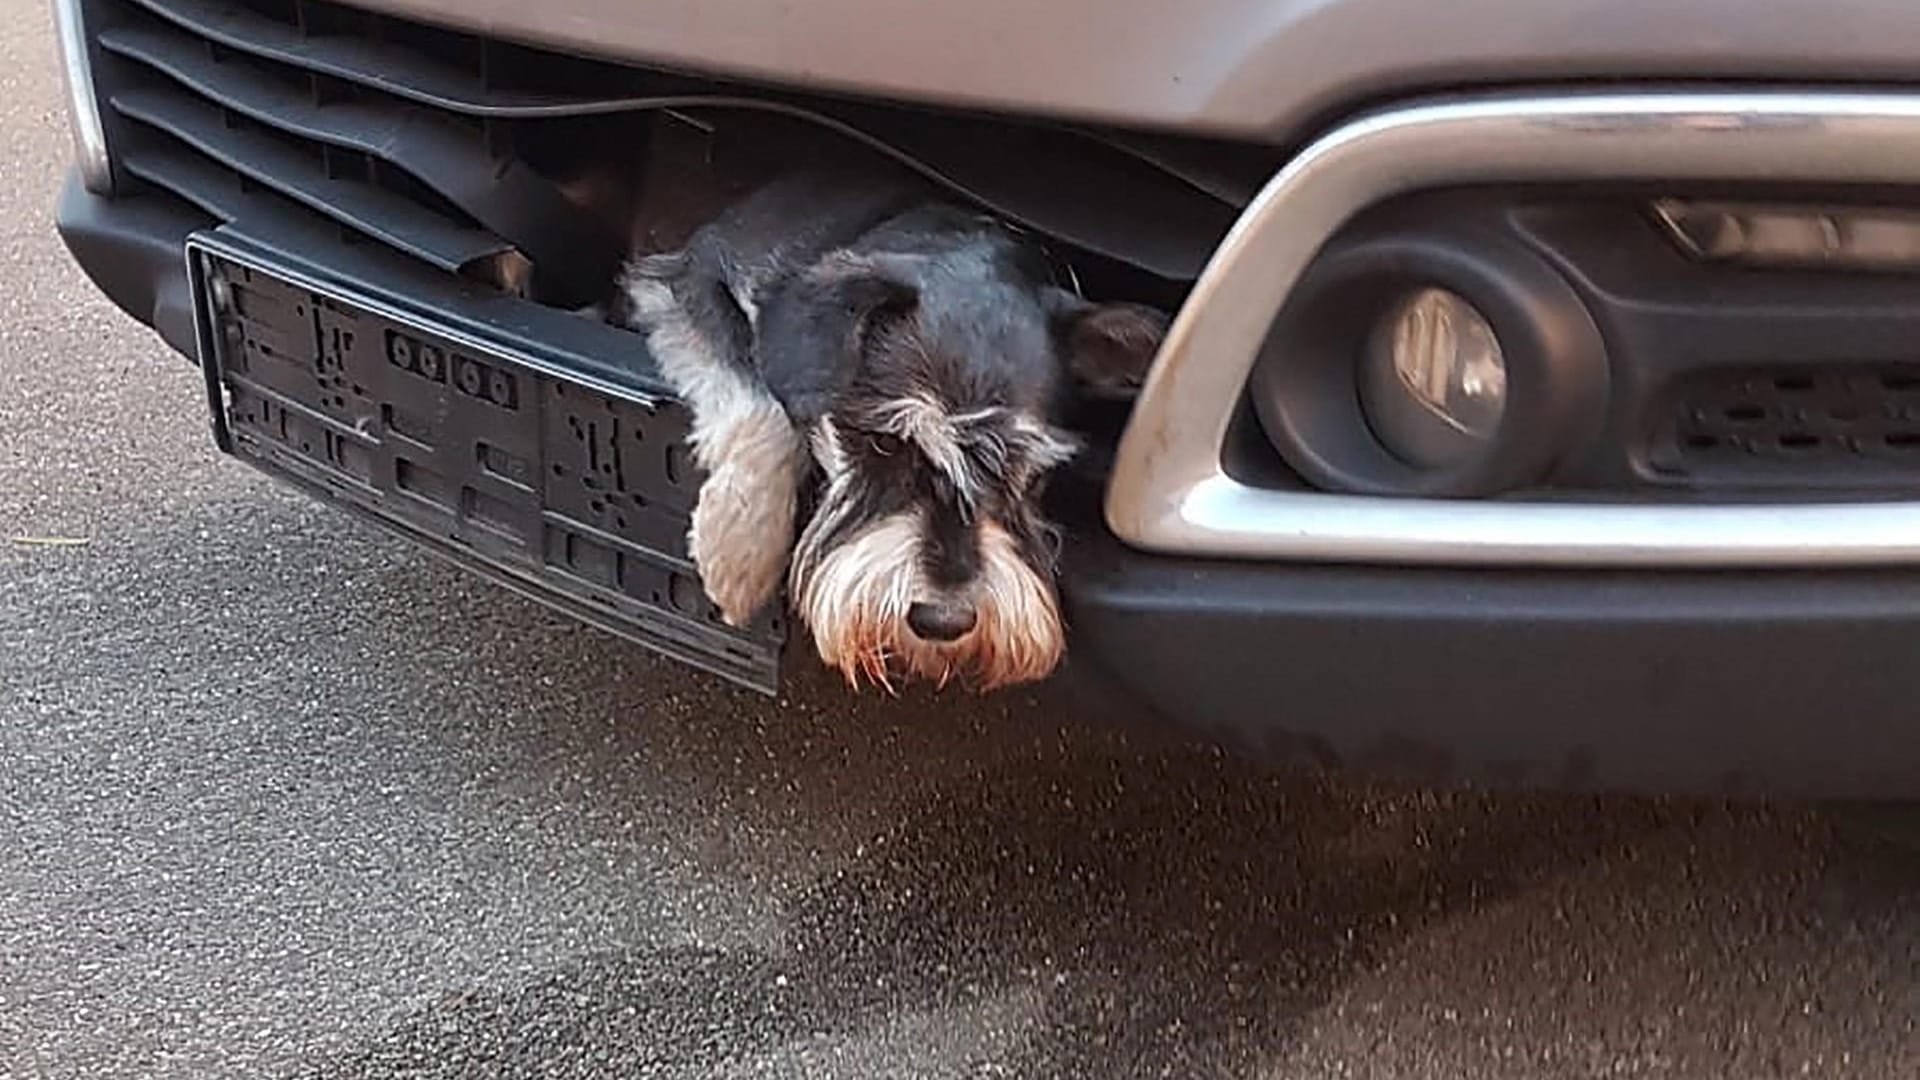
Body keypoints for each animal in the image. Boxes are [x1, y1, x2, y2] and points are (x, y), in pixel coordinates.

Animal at [606, 168, 1159, 687]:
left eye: (1027, 469)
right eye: (885, 442)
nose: (943, 620)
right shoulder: (688, 279)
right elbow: (757, 391)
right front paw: (739, 551)